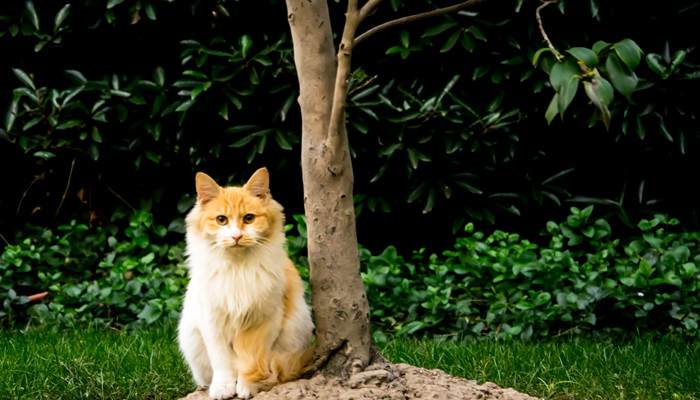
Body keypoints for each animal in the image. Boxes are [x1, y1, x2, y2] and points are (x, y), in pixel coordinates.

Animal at [178, 169, 314, 400]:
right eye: (221, 220)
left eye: (249, 218)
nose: (236, 236)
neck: (237, 269)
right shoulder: (212, 322)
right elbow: (222, 362)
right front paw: (223, 388)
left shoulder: (265, 320)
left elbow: (252, 359)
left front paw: (247, 386)